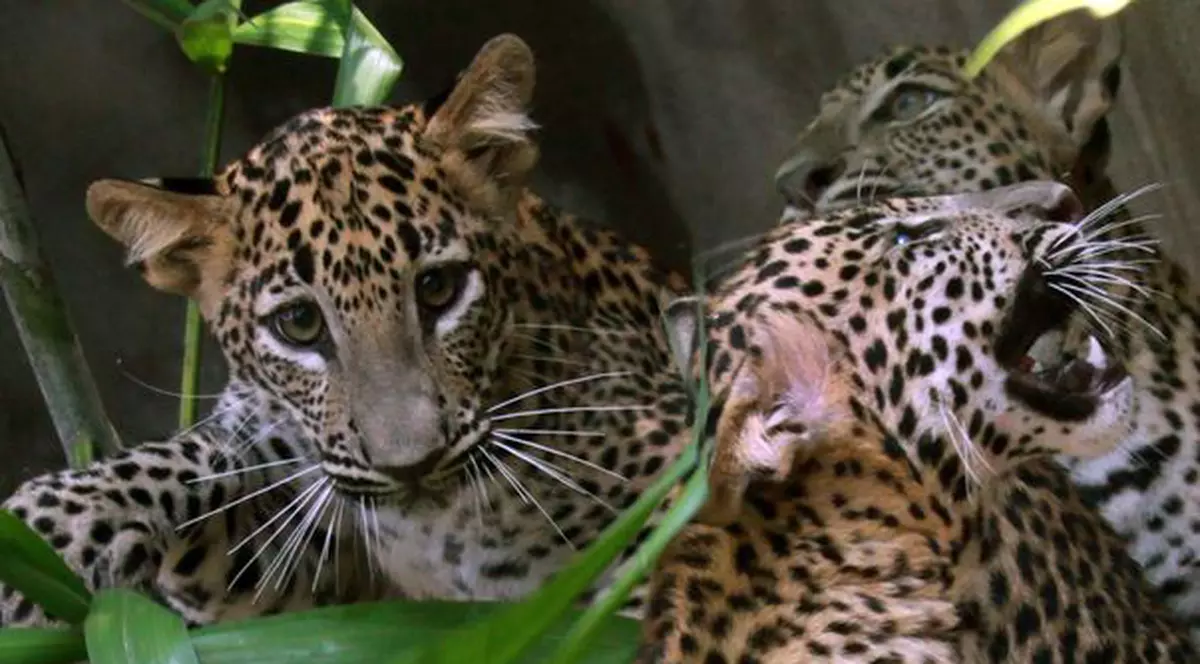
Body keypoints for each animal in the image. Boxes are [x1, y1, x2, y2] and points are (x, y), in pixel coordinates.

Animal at [0, 34, 693, 627]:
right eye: (300, 323)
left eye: (438, 288)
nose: (412, 466)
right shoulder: (305, 547)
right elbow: (199, 459)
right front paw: (50, 529)